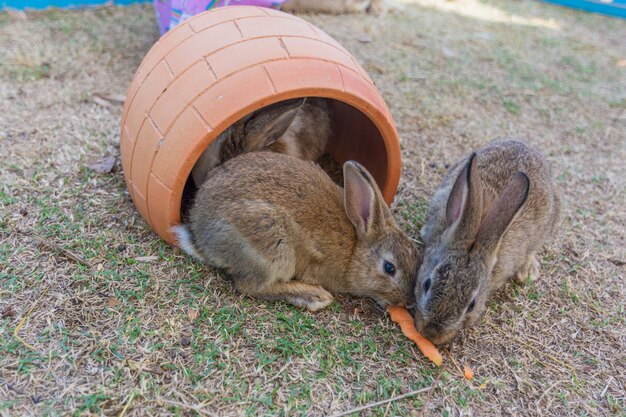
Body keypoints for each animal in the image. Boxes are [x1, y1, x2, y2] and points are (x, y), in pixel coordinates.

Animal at [173, 151, 416, 310]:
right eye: (389, 268)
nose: (405, 302)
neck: (355, 250)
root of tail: (201, 238)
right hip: (272, 244)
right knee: (250, 286)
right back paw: (315, 296)